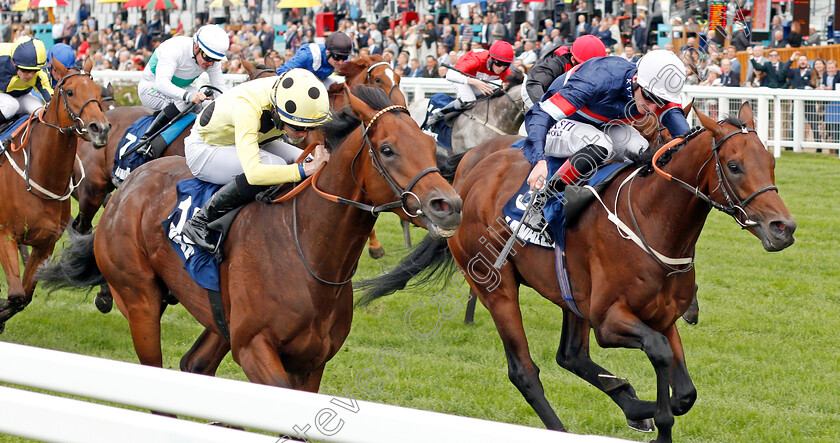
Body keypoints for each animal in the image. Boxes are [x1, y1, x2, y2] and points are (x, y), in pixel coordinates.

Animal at [0, 57, 110, 332]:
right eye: (69, 92)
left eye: (97, 93)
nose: (101, 129)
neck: (39, 175)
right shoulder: (4, 234)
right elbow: (16, 293)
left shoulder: (45, 245)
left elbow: (22, 298)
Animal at [39, 85, 460, 398]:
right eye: (387, 149)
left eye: (430, 146)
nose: (449, 205)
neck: (308, 250)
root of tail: (128, 189)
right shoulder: (254, 348)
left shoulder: (312, 361)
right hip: (140, 299)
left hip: (217, 317)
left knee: (193, 364)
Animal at [360, 102, 796, 442]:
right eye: (735, 166)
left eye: (771, 162)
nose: (783, 228)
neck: (651, 220)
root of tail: (467, 176)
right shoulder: (609, 320)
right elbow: (658, 355)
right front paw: (654, 415)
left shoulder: (663, 316)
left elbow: (685, 391)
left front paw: (644, 406)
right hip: (497, 287)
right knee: (524, 371)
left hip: (570, 292)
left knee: (570, 355)